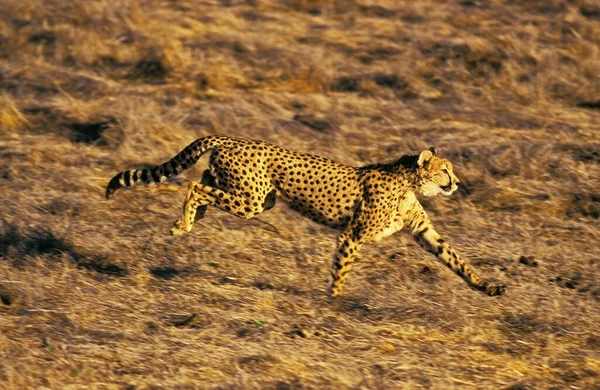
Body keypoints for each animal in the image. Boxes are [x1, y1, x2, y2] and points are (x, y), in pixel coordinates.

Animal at [105, 136, 504, 298]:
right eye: (444, 171)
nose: (457, 183)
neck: (409, 181)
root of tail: (231, 138)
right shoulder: (353, 235)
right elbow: (342, 269)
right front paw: (334, 302)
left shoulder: (423, 232)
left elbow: (456, 259)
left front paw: (488, 287)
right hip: (251, 201)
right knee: (193, 185)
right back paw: (183, 223)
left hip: (256, 198)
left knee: (203, 180)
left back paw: (193, 218)